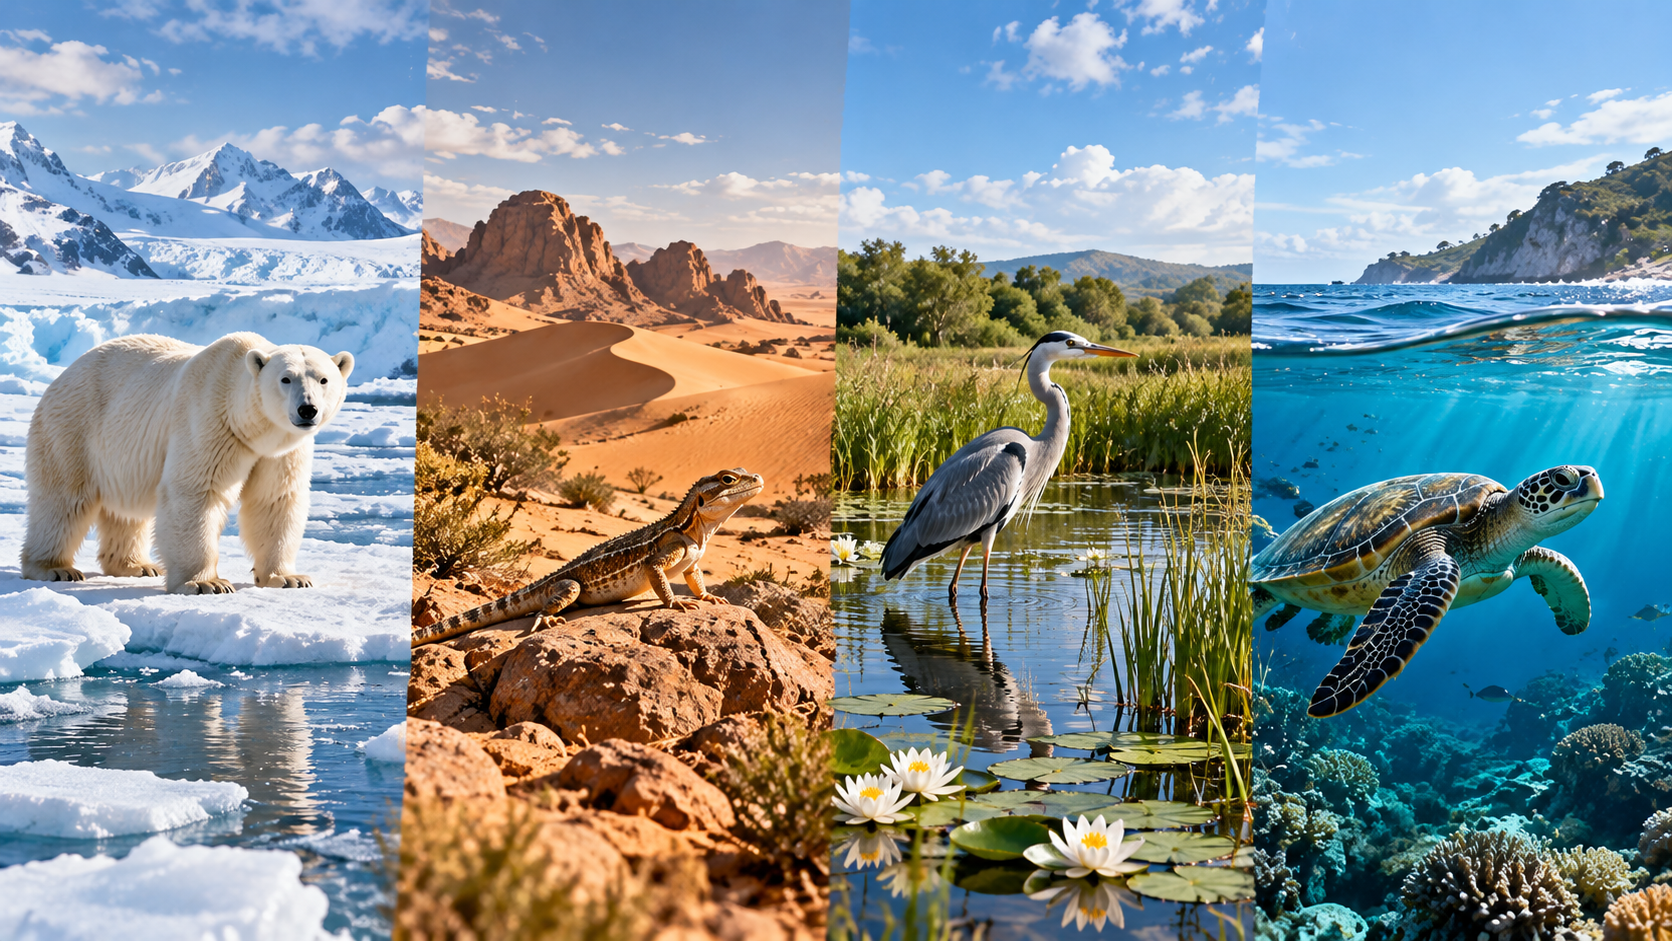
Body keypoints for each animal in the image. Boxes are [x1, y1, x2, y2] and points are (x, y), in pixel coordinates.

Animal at [21, 331, 354, 594]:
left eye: (323, 379)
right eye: (286, 378)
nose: (307, 409)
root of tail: (64, 374)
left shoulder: (280, 452)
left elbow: (274, 500)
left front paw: (288, 578)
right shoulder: (210, 422)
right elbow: (195, 492)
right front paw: (207, 583)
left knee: (126, 511)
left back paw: (137, 565)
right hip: (73, 429)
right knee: (63, 501)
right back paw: (54, 568)